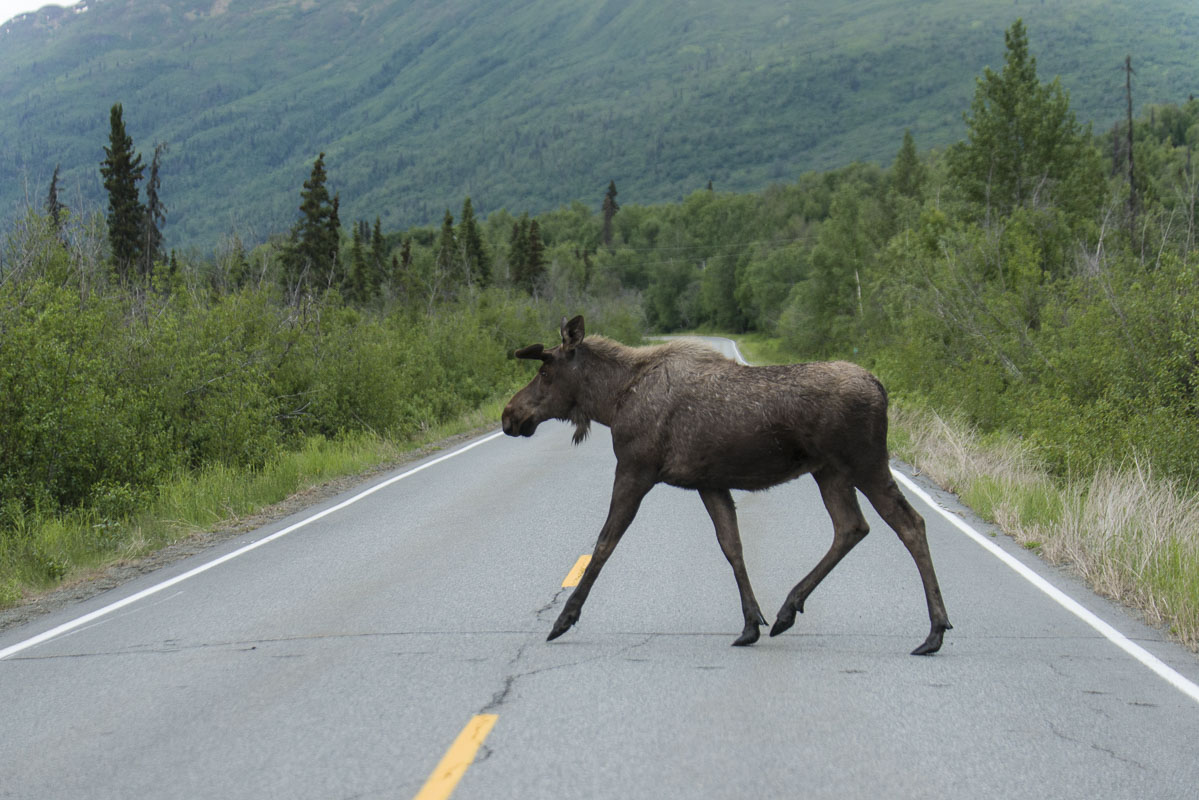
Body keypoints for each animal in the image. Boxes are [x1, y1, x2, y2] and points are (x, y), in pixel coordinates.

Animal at [501, 316, 949, 652]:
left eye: (545, 372)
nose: (509, 415)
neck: (612, 402)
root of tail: (881, 388)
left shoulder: (634, 469)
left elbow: (604, 544)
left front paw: (564, 619)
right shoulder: (709, 482)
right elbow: (732, 546)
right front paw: (751, 624)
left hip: (865, 463)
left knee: (910, 524)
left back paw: (934, 632)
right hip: (830, 471)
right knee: (851, 527)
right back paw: (787, 610)